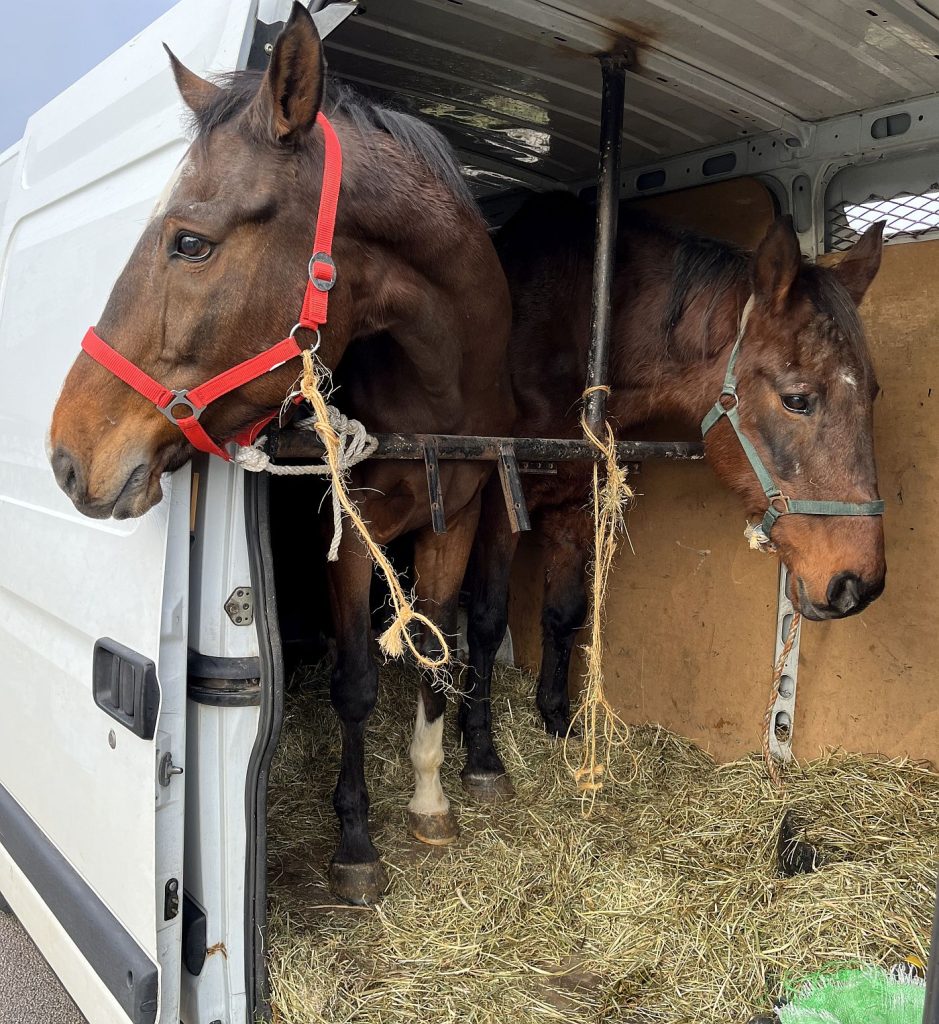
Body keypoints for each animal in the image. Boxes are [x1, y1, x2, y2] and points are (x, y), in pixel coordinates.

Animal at [47, 6, 511, 905]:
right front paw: (356, 843)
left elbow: (434, 649)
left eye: (190, 243)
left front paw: (429, 796)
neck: (436, 396)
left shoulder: (456, 521)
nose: (65, 456)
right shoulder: (351, 536)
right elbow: (357, 679)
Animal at [458, 193, 884, 798]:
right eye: (798, 399)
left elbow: (564, 613)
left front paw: (559, 722)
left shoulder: (575, 503)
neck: (570, 330)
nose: (858, 585)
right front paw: (480, 752)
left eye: (873, 393)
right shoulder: (497, 500)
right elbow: (487, 620)